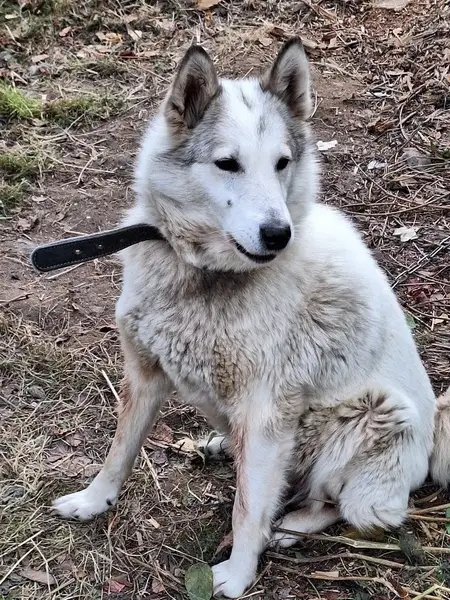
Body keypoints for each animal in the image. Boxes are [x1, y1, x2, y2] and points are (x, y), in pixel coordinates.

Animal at [53, 39, 450, 598]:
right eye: (228, 164)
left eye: (282, 163)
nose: (278, 234)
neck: (203, 274)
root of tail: (433, 438)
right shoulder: (144, 375)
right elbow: (119, 451)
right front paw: (93, 502)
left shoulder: (265, 416)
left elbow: (247, 511)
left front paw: (237, 576)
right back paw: (224, 447)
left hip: (368, 419)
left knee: (341, 506)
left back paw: (290, 528)